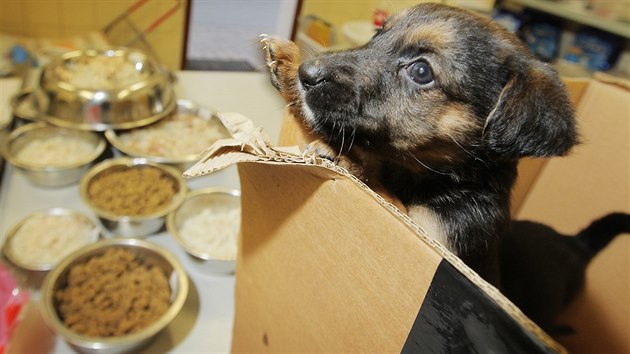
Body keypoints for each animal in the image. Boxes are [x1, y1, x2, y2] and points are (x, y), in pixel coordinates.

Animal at [260, 3, 576, 288]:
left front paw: (346, 160)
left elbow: (380, 186)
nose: (307, 73)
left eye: (422, 71)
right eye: (378, 34)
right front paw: (289, 66)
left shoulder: (432, 236)